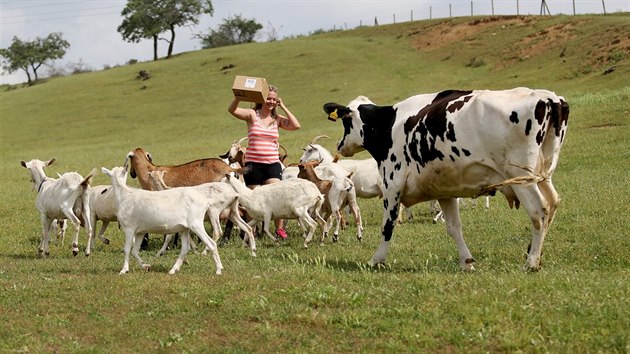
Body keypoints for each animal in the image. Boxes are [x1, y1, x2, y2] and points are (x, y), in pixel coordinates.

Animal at [326, 88, 572, 272]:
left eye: (346, 121)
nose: (339, 145)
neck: (388, 125)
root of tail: (547, 97)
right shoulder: (443, 190)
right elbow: (454, 228)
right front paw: (466, 261)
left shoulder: (392, 184)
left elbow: (388, 225)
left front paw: (376, 259)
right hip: (543, 175)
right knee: (553, 203)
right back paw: (535, 253)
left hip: (521, 177)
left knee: (539, 211)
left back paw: (531, 262)